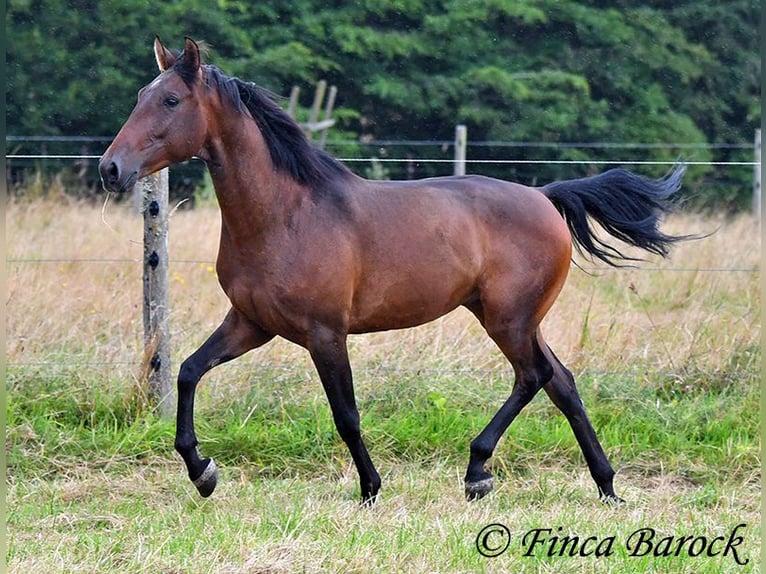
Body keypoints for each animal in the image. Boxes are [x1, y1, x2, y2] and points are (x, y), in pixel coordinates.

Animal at [99, 36, 688, 506]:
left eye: (170, 99)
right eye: (139, 96)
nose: (110, 169)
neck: (285, 214)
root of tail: (546, 197)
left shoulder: (325, 333)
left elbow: (346, 415)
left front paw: (370, 489)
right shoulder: (252, 323)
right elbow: (188, 371)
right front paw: (202, 473)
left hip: (509, 319)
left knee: (534, 376)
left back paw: (478, 472)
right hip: (513, 317)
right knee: (561, 381)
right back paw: (605, 486)